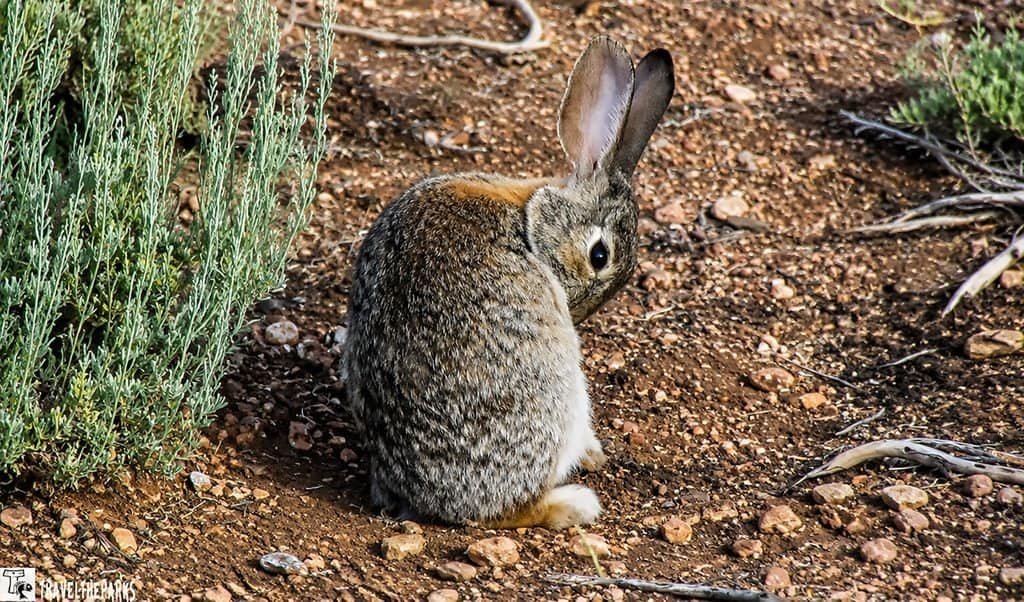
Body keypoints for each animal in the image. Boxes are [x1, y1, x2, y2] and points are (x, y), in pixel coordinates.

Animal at [343, 36, 674, 529]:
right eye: (599, 255)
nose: (574, 312)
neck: (530, 213)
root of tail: (433, 502)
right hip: (560, 397)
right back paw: (575, 501)